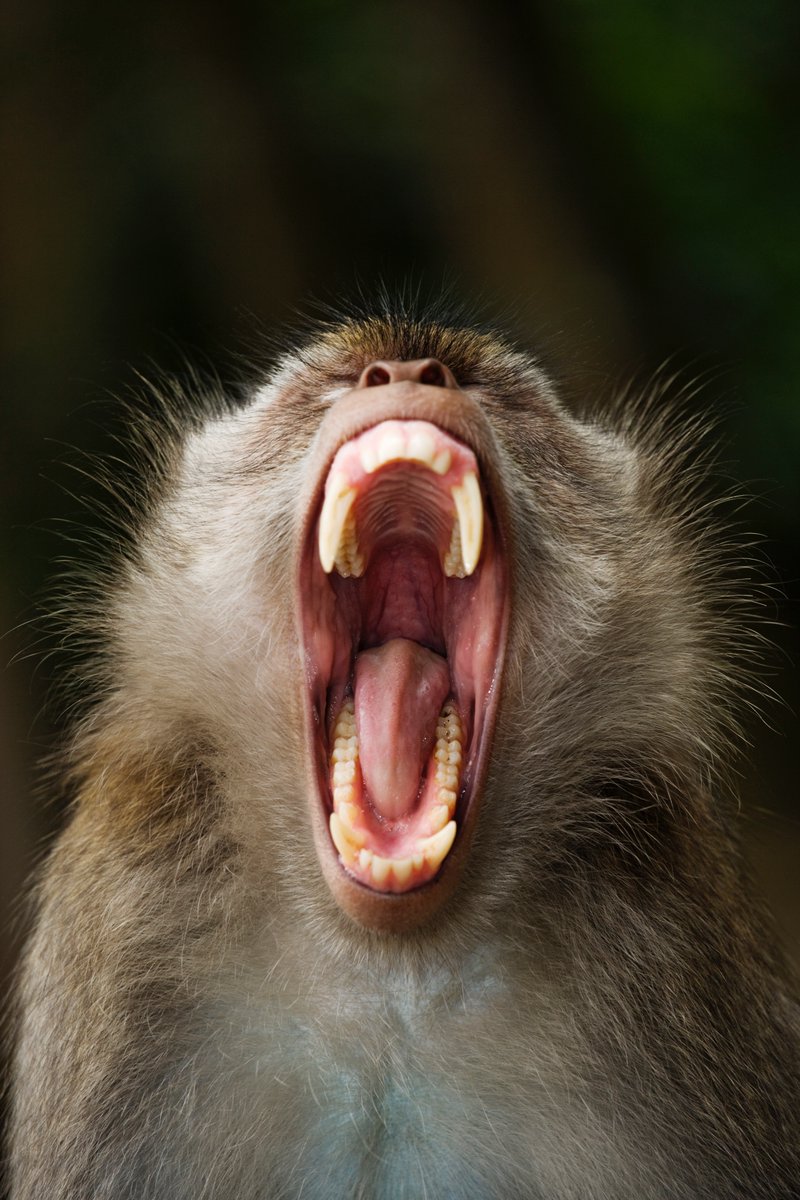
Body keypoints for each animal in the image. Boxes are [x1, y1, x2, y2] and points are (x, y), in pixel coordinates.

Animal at [6, 292, 800, 1200]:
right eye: (342, 379)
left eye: (493, 391)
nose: (414, 373)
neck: (393, 978)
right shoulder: (129, 914)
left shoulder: (676, 943)